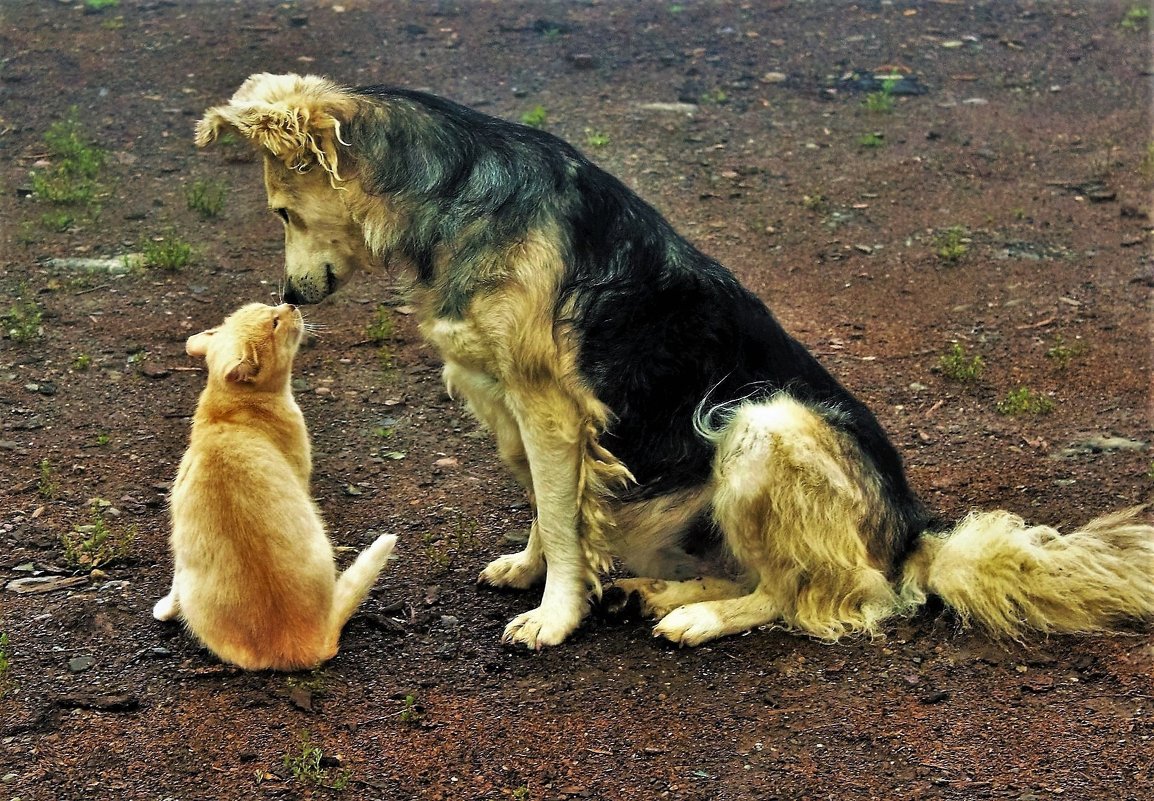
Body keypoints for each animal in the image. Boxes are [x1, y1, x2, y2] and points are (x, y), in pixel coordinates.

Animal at [153, 300, 396, 669]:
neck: (226, 413)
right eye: (274, 322)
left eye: (268, 308)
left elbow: (173, 582)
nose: (290, 303)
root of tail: (301, 646)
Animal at [196, 72, 1154, 650]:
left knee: (828, 596)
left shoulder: (549, 404)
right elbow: (548, 504)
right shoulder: (507, 398)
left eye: (282, 212)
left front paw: (556, 614)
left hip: (763, 421)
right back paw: (654, 592)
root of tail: (913, 531)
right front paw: (536, 573)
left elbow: (563, 512)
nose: (290, 295)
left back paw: (696, 615)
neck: (450, 190)